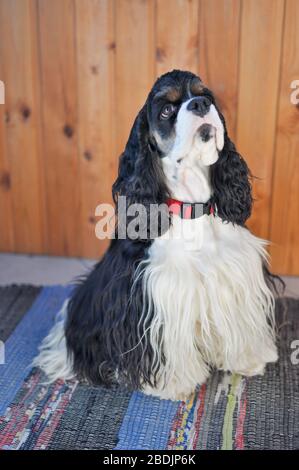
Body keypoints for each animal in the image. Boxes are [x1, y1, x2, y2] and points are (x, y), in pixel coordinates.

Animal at [36, 70, 280, 400]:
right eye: (166, 109)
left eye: (206, 95)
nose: (200, 104)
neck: (193, 209)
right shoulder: (155, 293)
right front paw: (174, 385)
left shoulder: (237, 276)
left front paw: (249, 359)